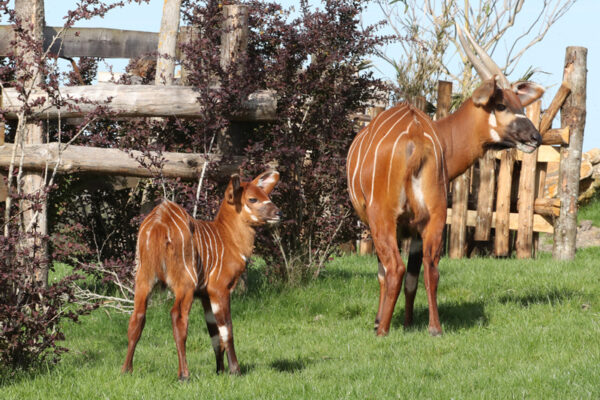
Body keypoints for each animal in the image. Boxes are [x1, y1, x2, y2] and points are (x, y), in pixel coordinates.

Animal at [123, 170, 282, 380]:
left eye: (266, 195)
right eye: (252, 199)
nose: (278, 213)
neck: (228, 238)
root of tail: (158, 225)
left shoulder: (206, 295)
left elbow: (213, 333)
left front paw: (219, 371)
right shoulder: (219, 289)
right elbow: (227, 329)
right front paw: (235, 371)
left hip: (143, 278)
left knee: (137, 317)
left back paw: (126, 370)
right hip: (185, 284)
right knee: (178, 317)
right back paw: (184, 375)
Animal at [344, 25, 548, 338]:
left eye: (518, 105)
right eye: (502, 104)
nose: (534, 137)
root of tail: (416, 141)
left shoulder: (378, 222)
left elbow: (386, 272)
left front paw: (382, 322)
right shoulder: (419, 228)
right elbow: (417, 275)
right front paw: (409, 323)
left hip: (384, 218)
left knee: (394, 269)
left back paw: (383, 331)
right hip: (434, 217)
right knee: (430, 268)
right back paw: (435, 328)